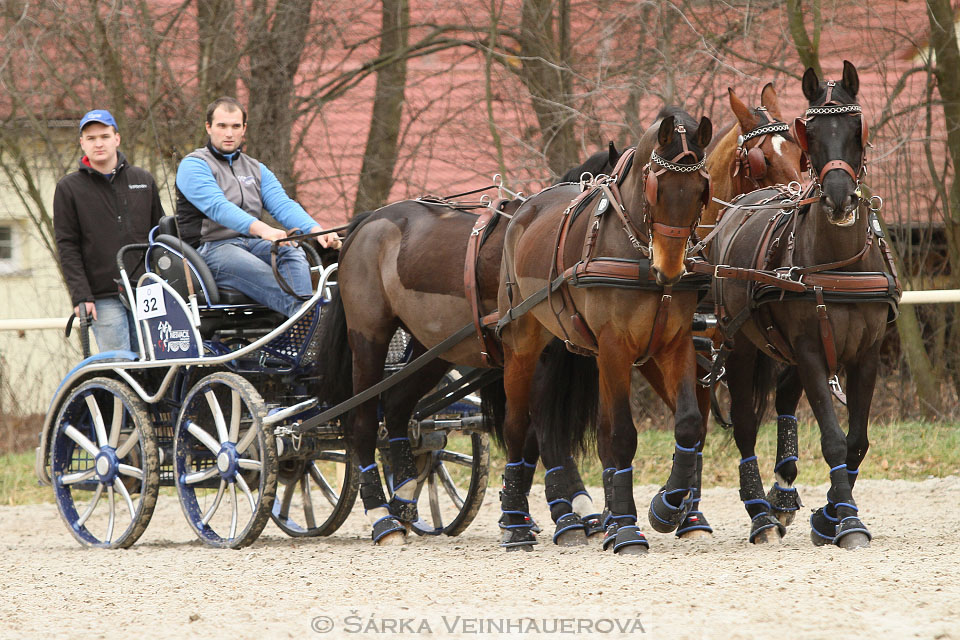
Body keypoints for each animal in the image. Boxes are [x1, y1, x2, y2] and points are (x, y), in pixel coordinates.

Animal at [312, 149, 620, 544]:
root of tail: (369, 222)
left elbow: (533, 437)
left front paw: (530, 511)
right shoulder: (536, 359)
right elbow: (543, 432)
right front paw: (566, 515)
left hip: (433, 350)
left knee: (396, 410)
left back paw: (404, 499)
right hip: (369, 337)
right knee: (363, 420)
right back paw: (381, 515)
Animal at [496, 107, 712, 552]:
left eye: (702, 189)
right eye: (656, 188)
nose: (669, 268)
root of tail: (524, 209)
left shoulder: (674, 344)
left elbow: (687, 422)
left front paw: (666, 506)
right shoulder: (614, 348)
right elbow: (622, 436)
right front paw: (626, 529)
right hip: (523, 344)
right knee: (517, 427)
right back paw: (515, 523)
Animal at [704, 61, 900, 552]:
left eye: (857, 127)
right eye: (810, 130)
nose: (838, 197)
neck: (839, 265)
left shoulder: (866, 355)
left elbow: (857, 441)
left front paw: (828, 517)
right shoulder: (811, 351)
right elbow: (833, 440)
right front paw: (847, 521)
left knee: (783, 401)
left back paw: (781, 495)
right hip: (739, 346)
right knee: (745, 423)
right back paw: (759, 515)